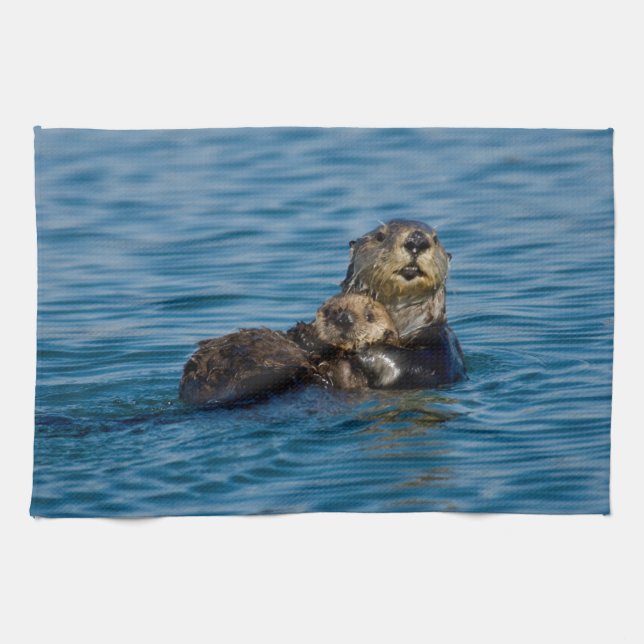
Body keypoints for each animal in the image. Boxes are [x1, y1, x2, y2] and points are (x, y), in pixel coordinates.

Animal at [341, 219, 465, 387]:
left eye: (436, 239)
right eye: (380, 236)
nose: (417, 240)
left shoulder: (445, 344)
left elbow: (421, 366)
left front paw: (362, 348)